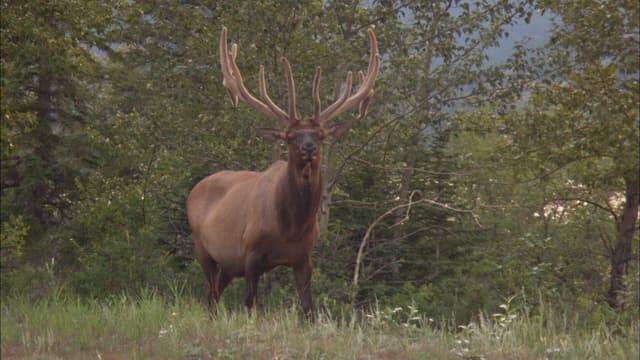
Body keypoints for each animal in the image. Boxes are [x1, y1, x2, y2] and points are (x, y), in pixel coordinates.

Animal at [186, 26, 380, 318]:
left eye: (319, 135)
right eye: (290, 137)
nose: (309, 147)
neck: (290, 227)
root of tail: (194, 189)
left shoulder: (304, 258)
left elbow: (308, 309)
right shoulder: (250, 253)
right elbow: (251, 305)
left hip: (228, 265)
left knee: (214, 294)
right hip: (203, 248)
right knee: (210, 294)